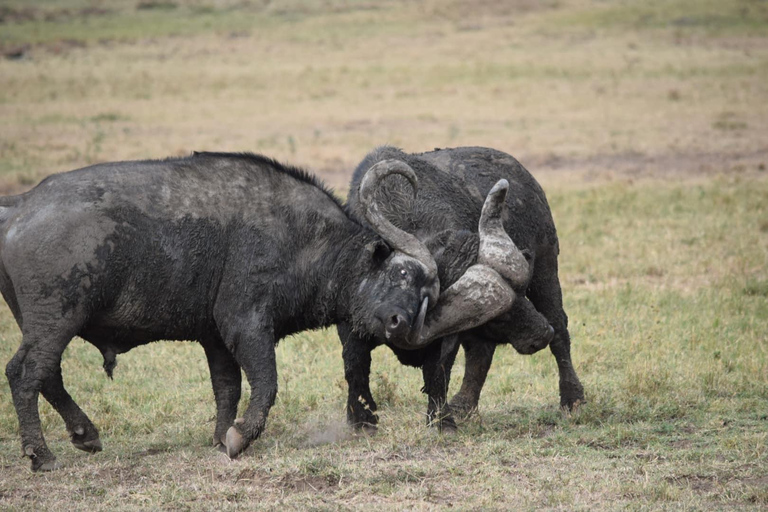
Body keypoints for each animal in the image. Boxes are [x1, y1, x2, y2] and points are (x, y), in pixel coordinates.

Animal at [0, 152, 452, 472]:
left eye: (425, 293)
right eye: (400, 273)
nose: (401, 324)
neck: (306, 240)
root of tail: (20, 205)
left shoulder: (216, 338)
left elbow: (228, 388)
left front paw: (221, 437)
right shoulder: (245, 326)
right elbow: (266, 384)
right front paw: (240, 438)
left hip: (43, 325)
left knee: (47, 375)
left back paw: (85, 434)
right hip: (57, 320)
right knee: (25, 373)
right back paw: (41, 455)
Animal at [340, 146, 584, 430]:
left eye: (521, 294)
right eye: (500, 316)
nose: (541, 334)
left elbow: (438, 370)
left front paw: (441, 420)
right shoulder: (349, 324)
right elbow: (355, 366)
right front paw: (359, 419)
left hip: (547, 268)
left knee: (560, 330)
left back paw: (572, 398)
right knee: (481, 350)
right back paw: (464, 405)